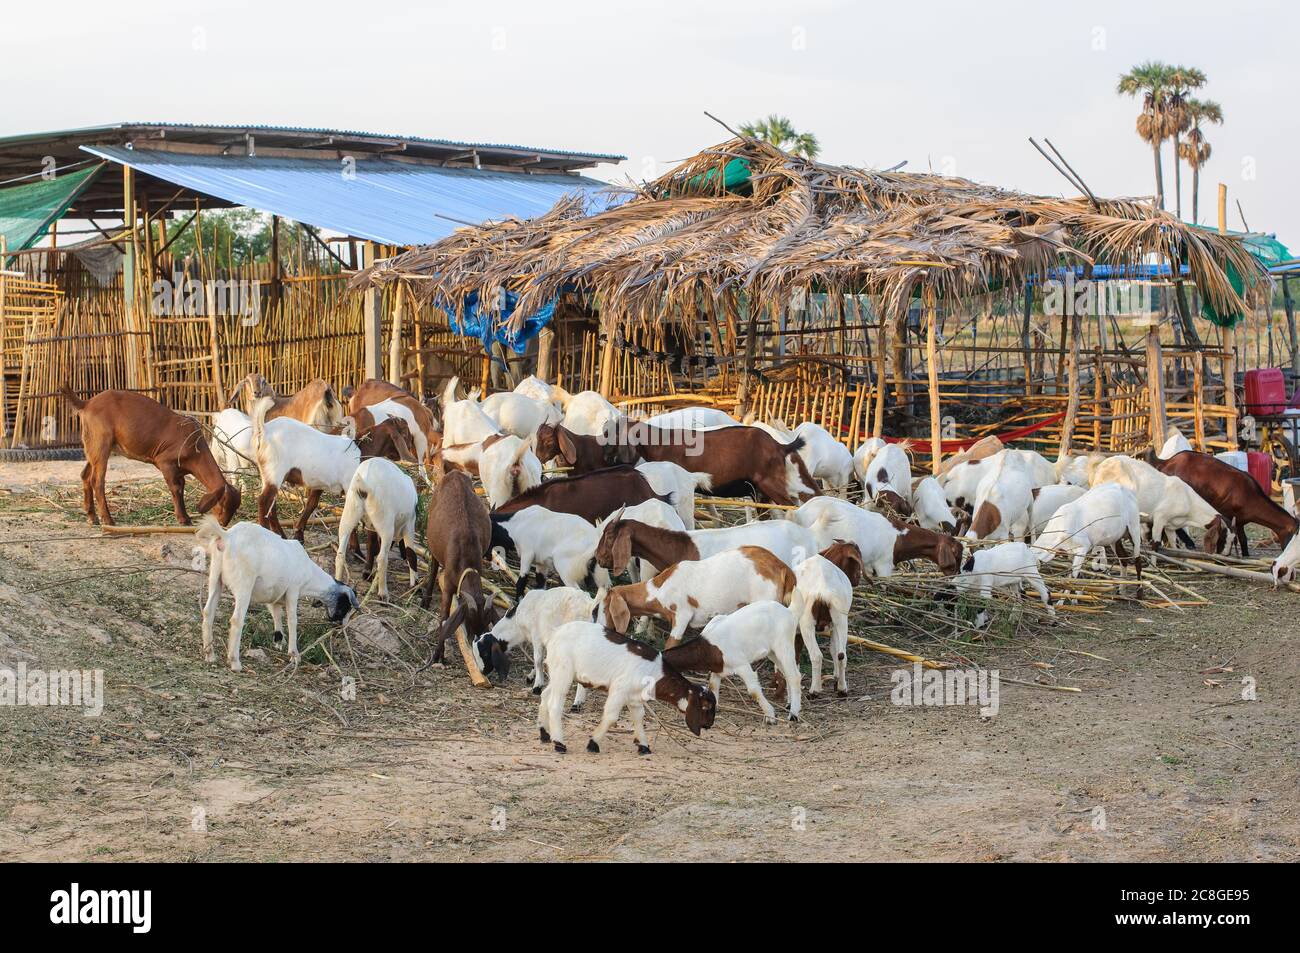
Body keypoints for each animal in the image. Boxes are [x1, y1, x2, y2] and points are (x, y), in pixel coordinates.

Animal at [64, 387, 241, 527]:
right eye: (223, 504)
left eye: (235, 507)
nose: (223, 523)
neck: (195, 447)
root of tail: (87, 403)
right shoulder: (165, 462)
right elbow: (176, 489)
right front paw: (183, 519)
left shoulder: (179, 471)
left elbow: (182, 486)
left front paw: (185, 516)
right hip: (101, 443)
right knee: (97, 481)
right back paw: (108, 519)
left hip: (92, 445)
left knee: (85, 476)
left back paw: (92, 517)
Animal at [192, 512, 356, 670]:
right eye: (346, 606)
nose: (341, 626)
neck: (309, 573)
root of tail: (227, 537)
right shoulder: (293, 591)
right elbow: (292, 620)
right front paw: (294, 654)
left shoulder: (274, 598)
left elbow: (277, 616)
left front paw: (278, 641)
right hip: (244, 584)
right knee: (237, 619)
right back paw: (235, 662)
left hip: (215, 577)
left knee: (208, 612)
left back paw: (210, 655)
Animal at [418, 473, 499, 665]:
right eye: (468, 619)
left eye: (487, 621)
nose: (475, 639)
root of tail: (455, 473)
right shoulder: (448, 585)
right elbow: (444, 619)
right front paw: (438, 655)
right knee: (433, 566)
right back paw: (426, 599)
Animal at [1154, 447, 1294, 553]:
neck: (1251, 496)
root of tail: (1167, 462)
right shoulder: (1228, 515)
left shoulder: (1240, 521)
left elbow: (1243, 540)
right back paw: (1188, 543)